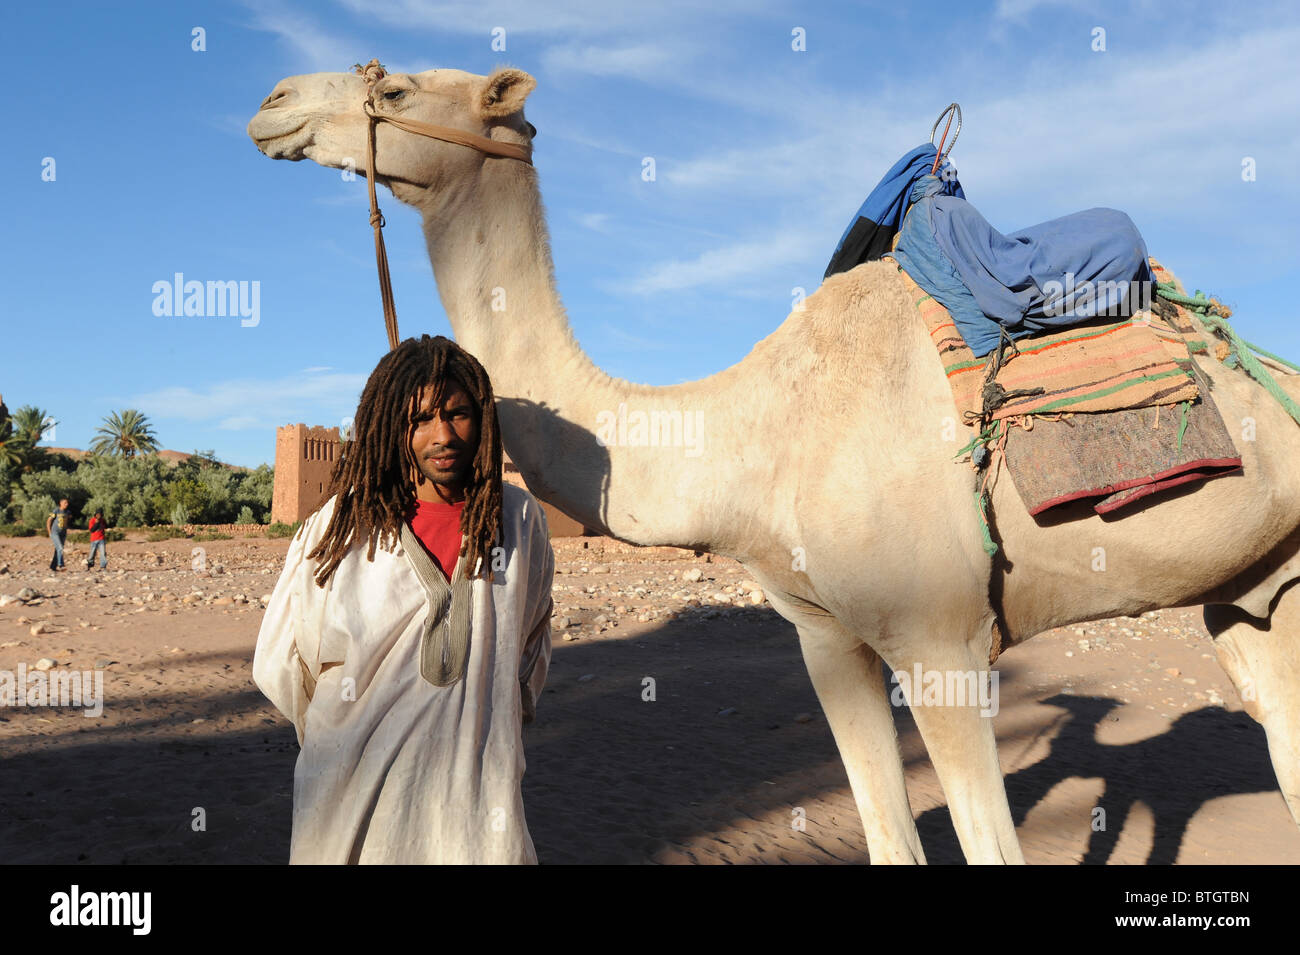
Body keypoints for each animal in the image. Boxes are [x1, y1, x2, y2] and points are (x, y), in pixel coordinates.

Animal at [247, 63, 1300, 864]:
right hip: (1252, 589)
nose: (273, 100)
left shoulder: (942, 638)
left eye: (396, 83)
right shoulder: (828, 639)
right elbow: (888, 837)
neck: (754, 439)